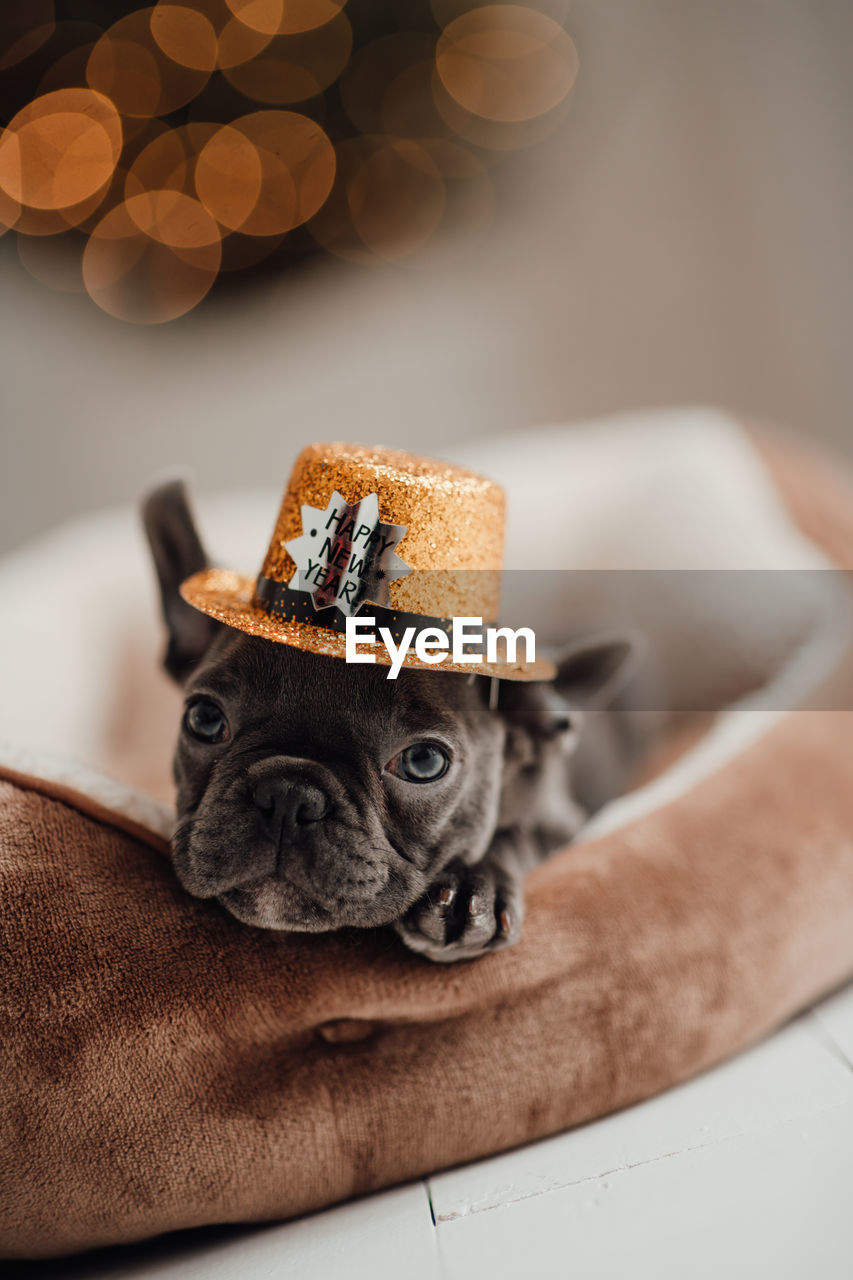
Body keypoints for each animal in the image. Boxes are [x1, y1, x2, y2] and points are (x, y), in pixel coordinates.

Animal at [144, 481, 645, 962]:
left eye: (423, 762)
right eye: (205, 719)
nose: (288, 796)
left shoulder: (564, 822)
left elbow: (517, 835)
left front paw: (473, 888)